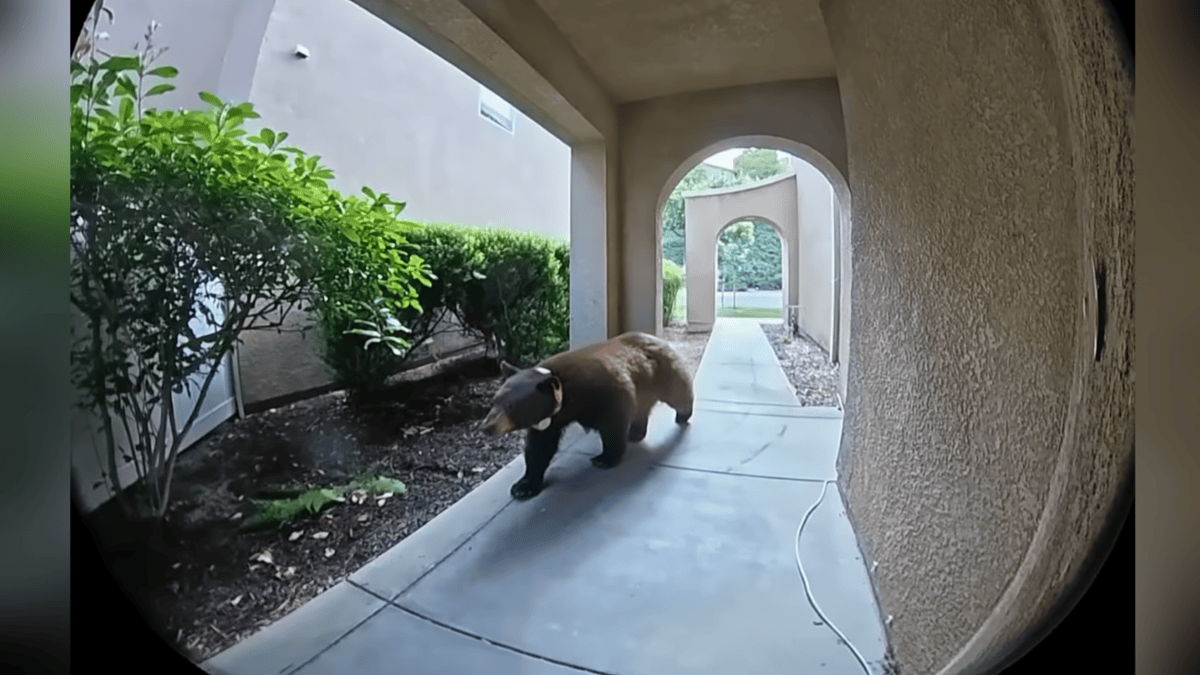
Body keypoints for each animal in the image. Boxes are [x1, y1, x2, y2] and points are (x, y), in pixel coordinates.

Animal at [478, 331, 694, 500]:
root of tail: (659, 339)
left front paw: (604, 458)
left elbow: (613, 425)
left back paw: (682, 415)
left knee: (679, 392)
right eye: (494, 401)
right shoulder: (550, 420)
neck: (566, 395)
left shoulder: (607, 393)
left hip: (664, 374)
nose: (486, 427)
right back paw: (635, 433)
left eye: (511, 406)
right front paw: (524, 486)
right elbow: (540, 447)